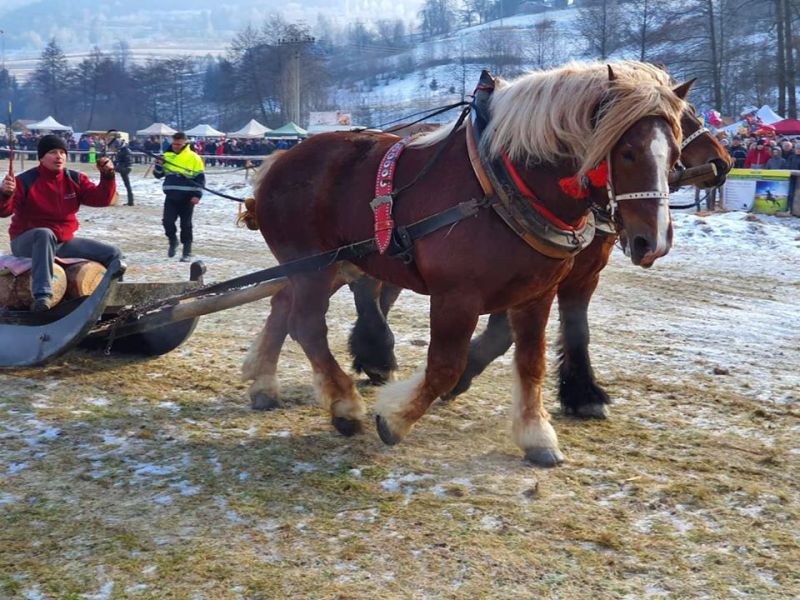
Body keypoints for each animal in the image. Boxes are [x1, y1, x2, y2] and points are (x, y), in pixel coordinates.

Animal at [244, 61, 688, 466]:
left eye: (675, 156)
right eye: (627, 152)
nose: (654, 241)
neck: (501, 186)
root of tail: (281, 159)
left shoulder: (537, 293)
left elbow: (532, 361)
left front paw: (536, 434)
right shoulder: (457, 295)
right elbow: (445, 366)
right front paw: (395, 419)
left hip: (328, 264)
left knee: (283, 305)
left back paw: (264, 382)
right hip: (313, 265)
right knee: (306, 324)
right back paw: (344, 404)